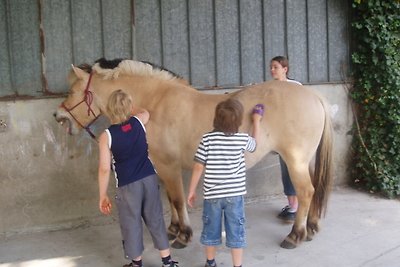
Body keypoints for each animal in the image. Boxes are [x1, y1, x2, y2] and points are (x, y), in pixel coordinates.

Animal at [54, 58, 334, 251]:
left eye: (72, 91)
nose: (58, 116)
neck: (155, 103)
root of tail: (313, 95)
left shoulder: (169, 167)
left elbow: (177, 200)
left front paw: (183, 235)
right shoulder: (162, 168)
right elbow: (170, 199)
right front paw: (173, 229)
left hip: (295, 160)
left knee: (306, 192)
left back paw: (295, 235)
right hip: (304, 161)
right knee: (313, 189)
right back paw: (311, 228)